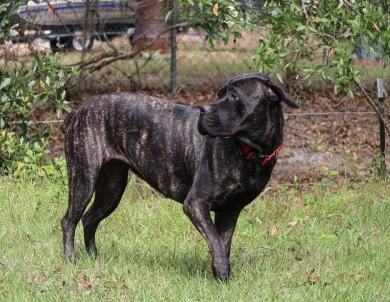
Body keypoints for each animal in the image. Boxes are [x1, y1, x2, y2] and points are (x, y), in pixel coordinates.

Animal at [61, 72, 298, 280]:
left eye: (233, 96)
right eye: (220, 94)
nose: (203, 109)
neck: (251, 152)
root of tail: (77, 110)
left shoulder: (230, 211)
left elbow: (223, 244)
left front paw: (220, 274)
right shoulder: (196, 204)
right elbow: (215, 241)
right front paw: (223, 277)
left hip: (112, 188)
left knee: (89, 219)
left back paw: (94, 258)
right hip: (84, 178)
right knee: (69, 221)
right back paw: (70, 259)